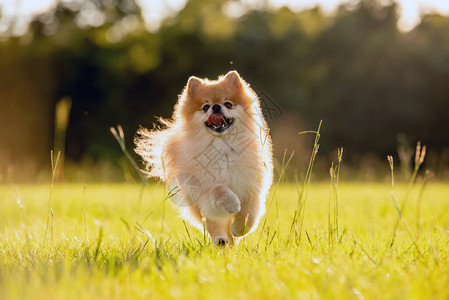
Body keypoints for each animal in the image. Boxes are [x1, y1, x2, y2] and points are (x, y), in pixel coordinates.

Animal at [135, 71, 272, 246]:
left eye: (228, 104)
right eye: (205, 107)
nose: (216, 106)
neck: (221, 147)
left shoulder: (250, 186)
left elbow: (249, 215)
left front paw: (238, 229)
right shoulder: (204, 189)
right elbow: (219, 190)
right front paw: (233, 204)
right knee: (212, 223)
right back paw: (221, 239)